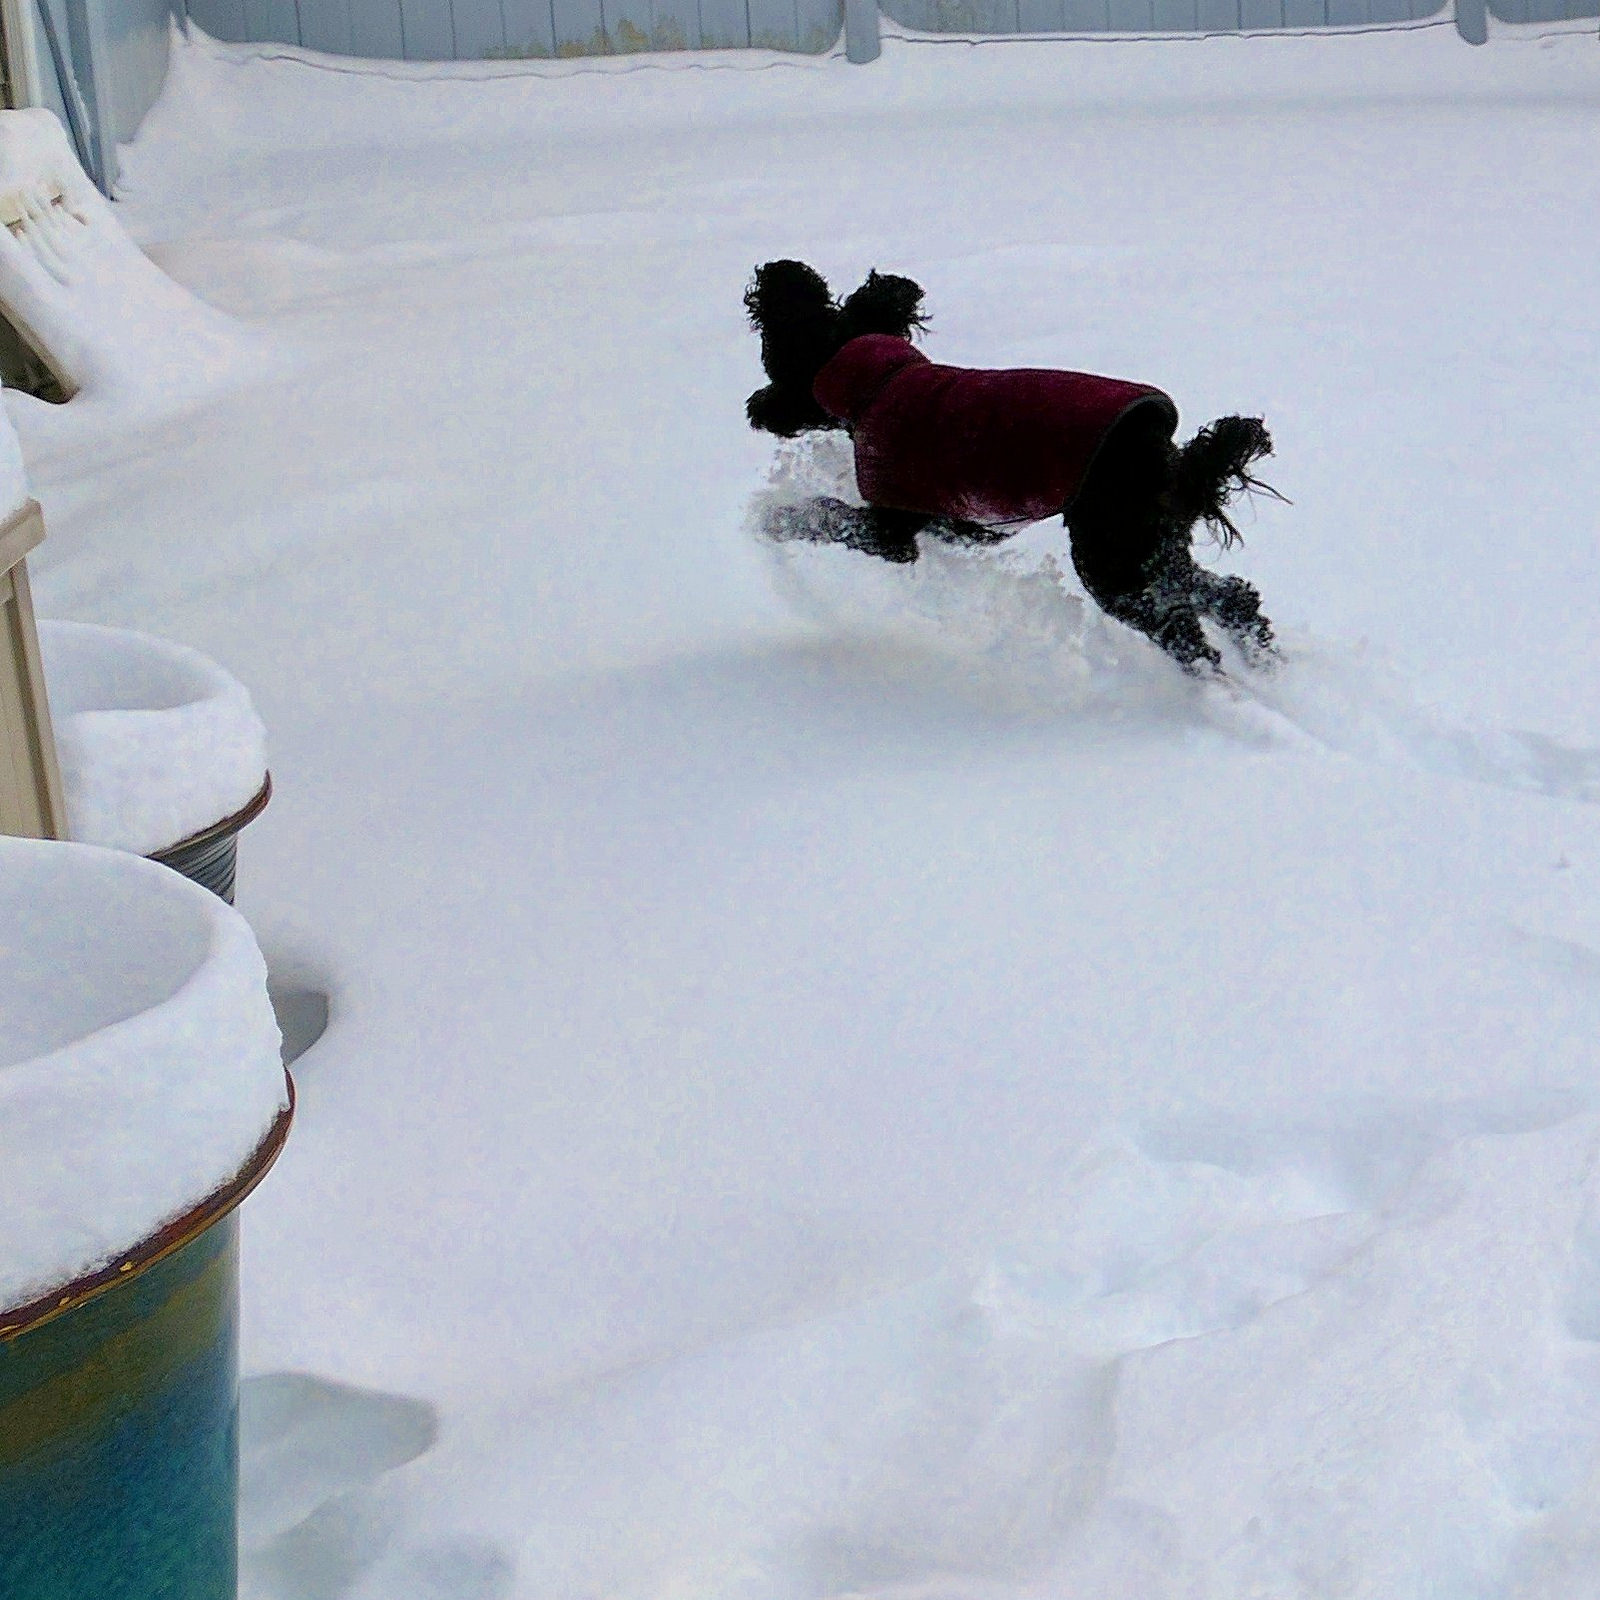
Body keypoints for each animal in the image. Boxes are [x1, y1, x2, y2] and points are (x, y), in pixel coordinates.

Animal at [742, 259, 1280, 672]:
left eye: (776, 367)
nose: (754, 409)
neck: (880, 383)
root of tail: (1168, 458)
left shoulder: (889, 532)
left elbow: (823, 514)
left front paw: (774, 517)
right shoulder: (956, 525)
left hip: (1112, 560)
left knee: (1186, 634)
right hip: (1146, 550)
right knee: (1228, 597)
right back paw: (1267, 665)